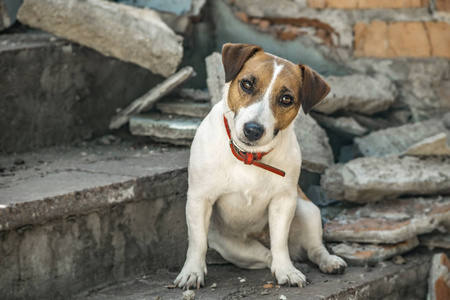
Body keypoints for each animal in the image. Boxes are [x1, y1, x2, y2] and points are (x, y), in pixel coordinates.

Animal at [174, 43, 346, 290]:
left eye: (286, 98)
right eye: (246, 84)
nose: (253, 130)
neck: (248, 156)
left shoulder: (283, 202)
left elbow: (280, 242)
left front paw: (287, 271)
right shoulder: (200, 199)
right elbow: (197, 242)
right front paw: (192, 273)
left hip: (307, 209)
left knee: (312, 249)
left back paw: (327, 262)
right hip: (235, 248)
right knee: (267, 256)